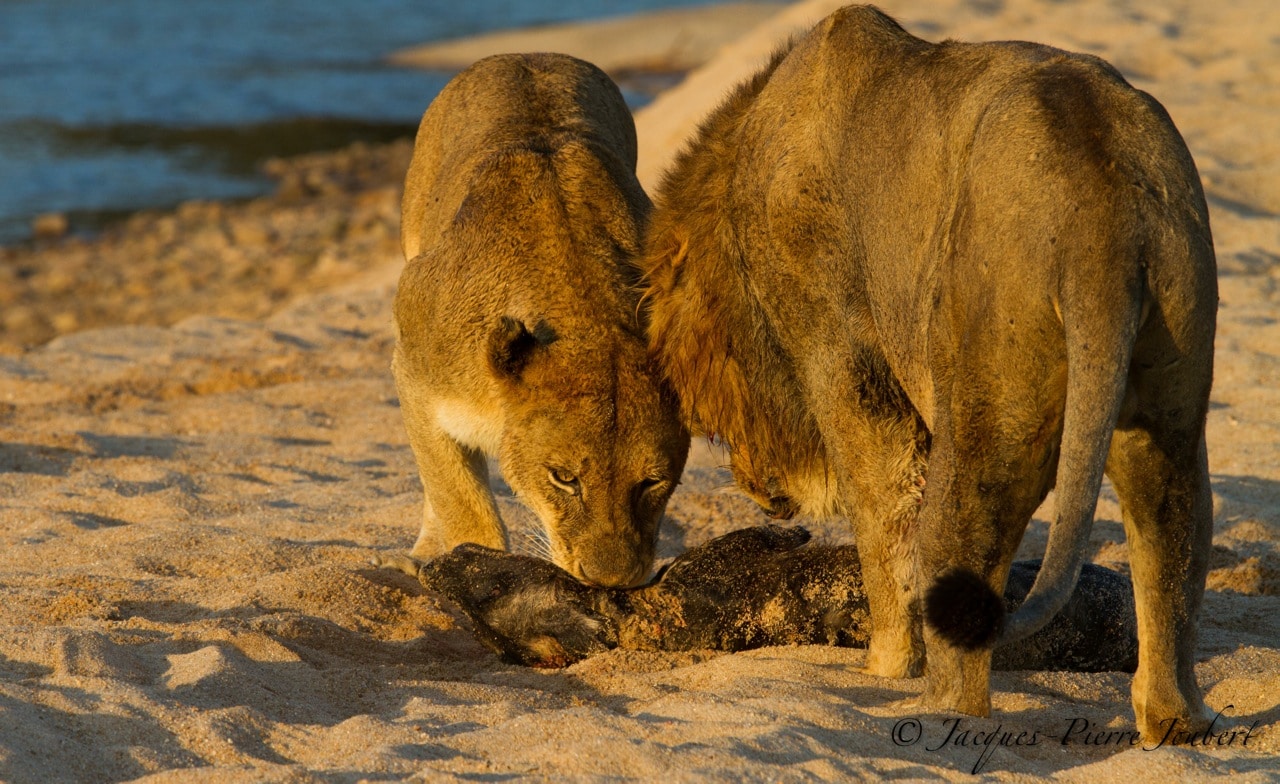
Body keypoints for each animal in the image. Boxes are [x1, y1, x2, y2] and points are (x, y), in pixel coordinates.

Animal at [391, 52, 686, 584]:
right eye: (564, 478)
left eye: (652, 482)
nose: (609, 580)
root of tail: (523, 54)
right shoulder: (414, 371)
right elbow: (461, 505)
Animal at [640, 6, 1218, 737]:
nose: (753, 486)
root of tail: (1102, 222)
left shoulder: (837, 346)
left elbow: (882, 505)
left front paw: (885, 664)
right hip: (1170, 374)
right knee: (1172, 527)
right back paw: (1174, 721)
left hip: (986, 386)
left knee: (965, 532)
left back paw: (937, 704)